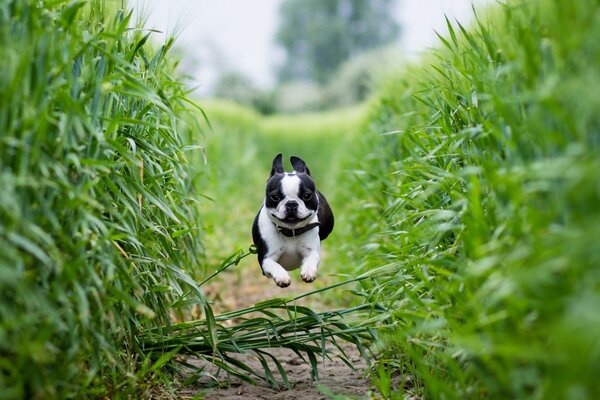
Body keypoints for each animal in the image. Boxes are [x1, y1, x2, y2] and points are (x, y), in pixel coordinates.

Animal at [250, 154, 332, 288]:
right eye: (275, 197)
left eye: (307, 195)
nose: (291, 203)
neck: (290, 232)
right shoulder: (265, 259)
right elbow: (274, 265)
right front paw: (281, 276)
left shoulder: (311, 250)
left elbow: (312, 258)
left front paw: (308, 271)